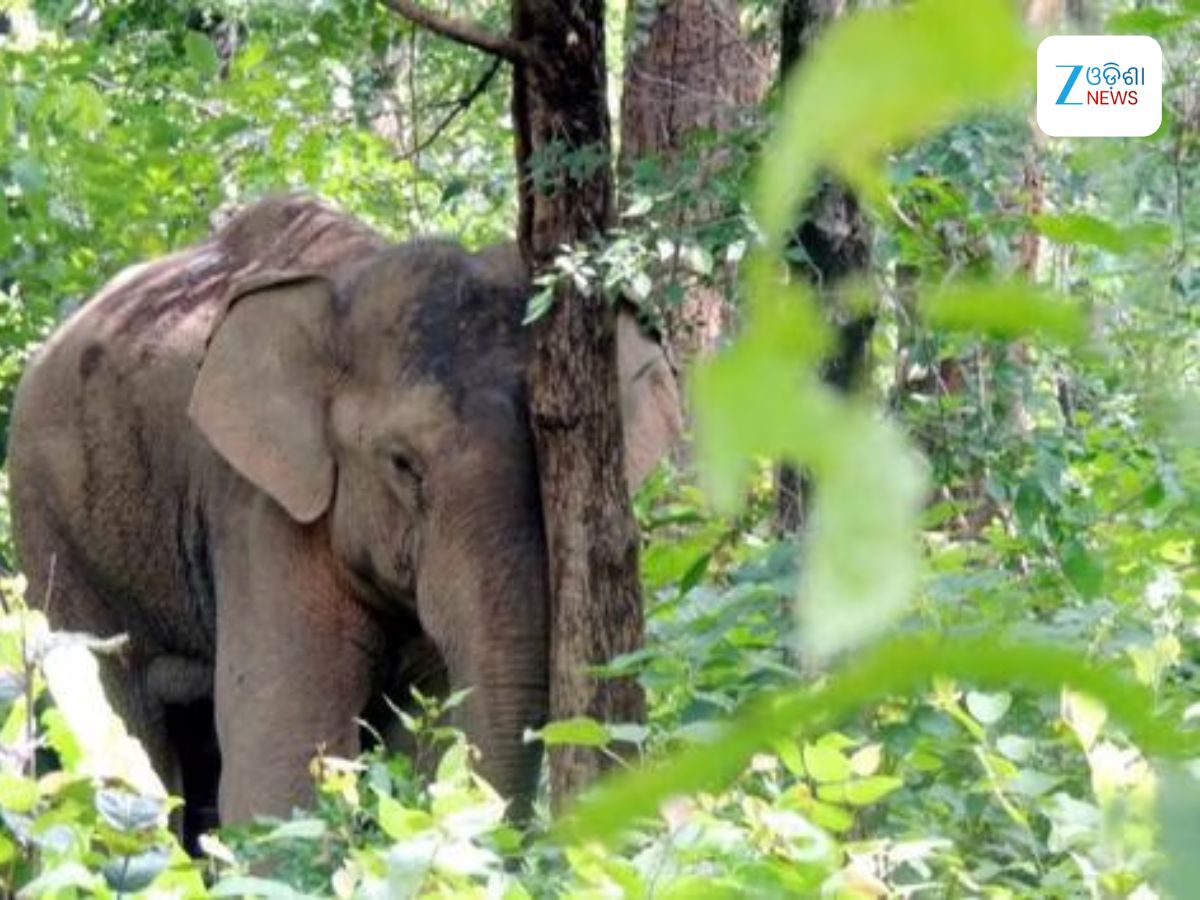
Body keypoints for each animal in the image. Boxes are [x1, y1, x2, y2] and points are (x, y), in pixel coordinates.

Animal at [7, 195, 681, 847]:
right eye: (403, 464)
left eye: (549, 445)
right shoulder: (262, 510)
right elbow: (281, 762)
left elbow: (422, 730)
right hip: (52, 532)